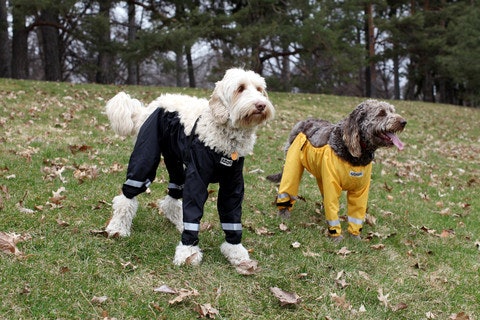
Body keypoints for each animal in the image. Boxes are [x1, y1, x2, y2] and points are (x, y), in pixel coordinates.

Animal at [103, 68, 276, 268]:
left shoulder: (233, 183)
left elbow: (231, 216)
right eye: (240, 88)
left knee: (173, 194)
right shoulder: (197, 178)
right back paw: (117, 227)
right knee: (127, 195)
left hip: (175, 160)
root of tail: (152, 105)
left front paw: (235, 251)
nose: (261, 105)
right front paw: (188, 251)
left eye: (259, 89)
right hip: (145, 157)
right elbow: (193, 210)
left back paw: (178, 222)